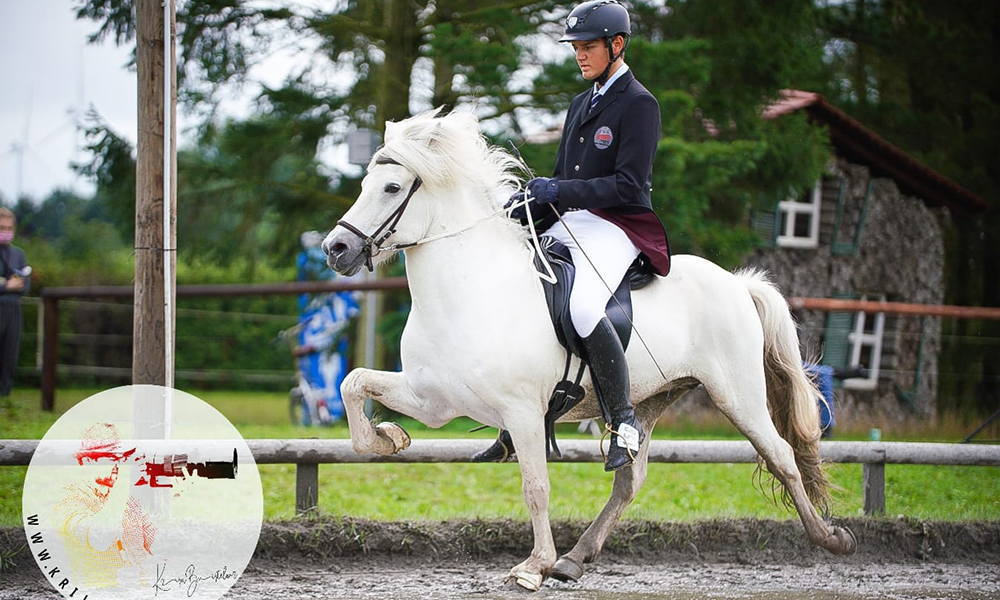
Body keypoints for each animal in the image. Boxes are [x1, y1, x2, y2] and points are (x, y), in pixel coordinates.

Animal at [324, 109, 856, 592]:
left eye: (392, 188)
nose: (335, 249)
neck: (469, 288)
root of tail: (738, 283)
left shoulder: (523, 412)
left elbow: (536, 487)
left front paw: (533, 566)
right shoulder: (432, 400)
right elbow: (354, 384)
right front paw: (388, 437)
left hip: (738, 396)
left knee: (782, 455)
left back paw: (832, 538)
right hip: (646, 400)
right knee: (630, 479)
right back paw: (574, 559)